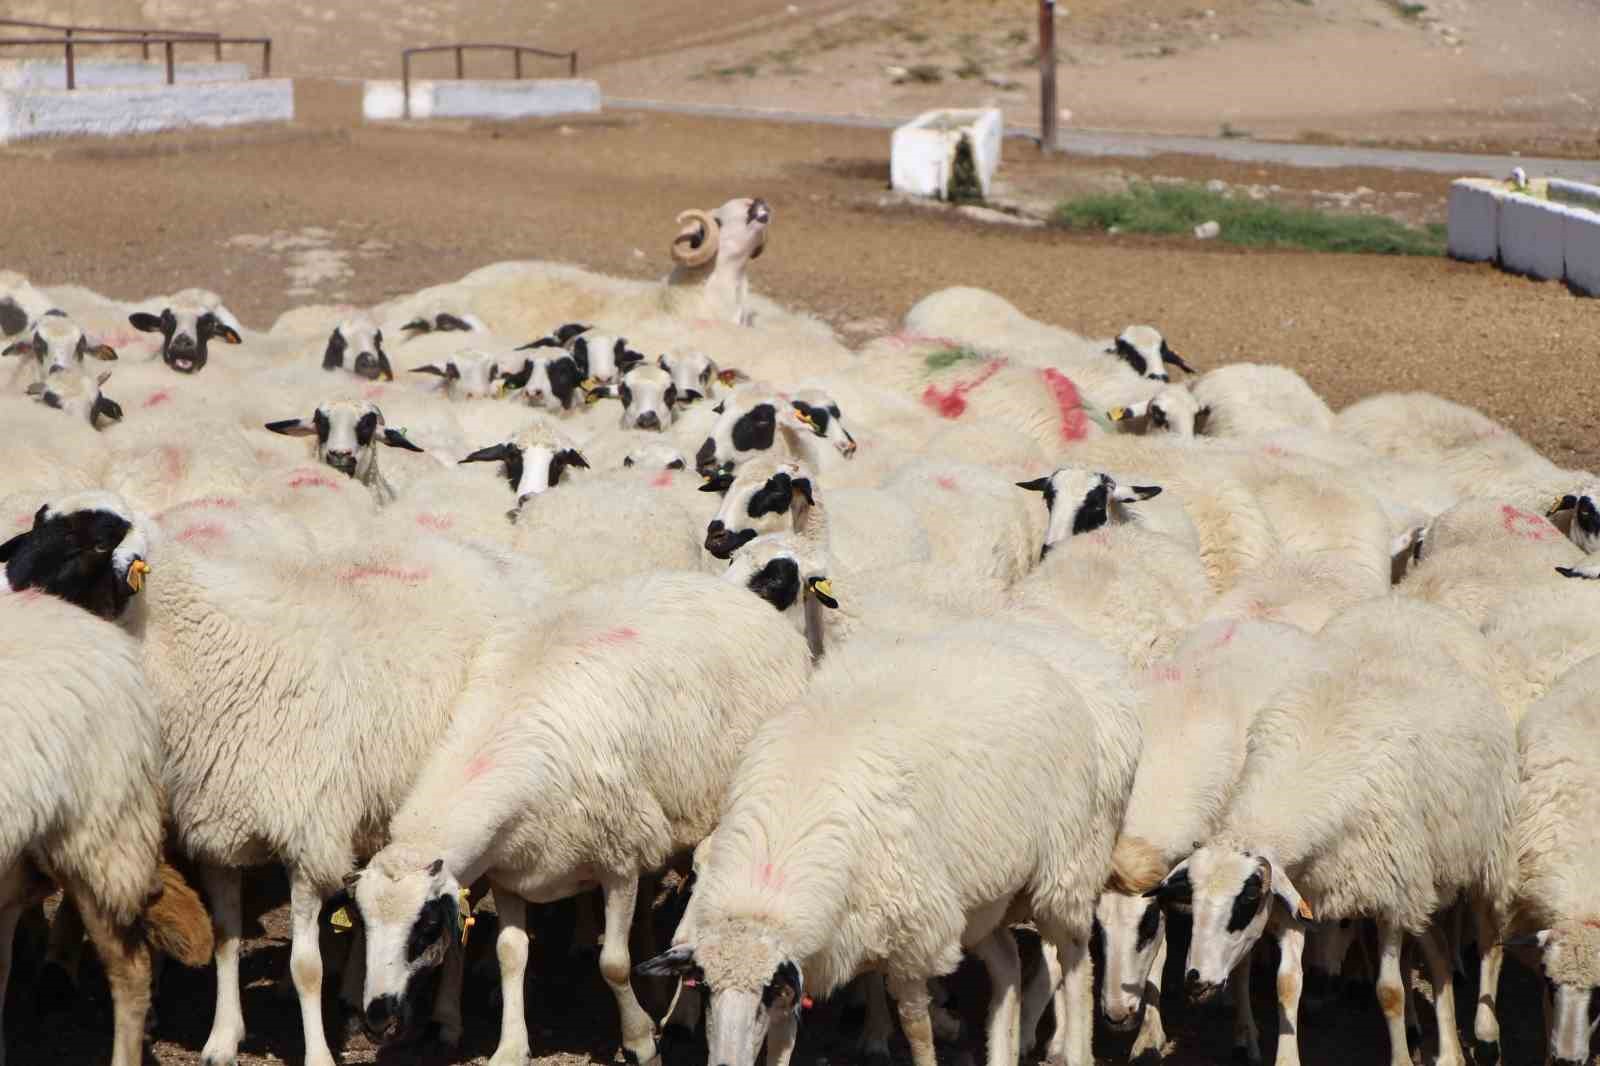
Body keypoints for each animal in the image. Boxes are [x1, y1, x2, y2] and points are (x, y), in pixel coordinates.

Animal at [636, 614, 1139, 1062]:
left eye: (763, 992)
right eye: (703, 986)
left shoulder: (914, 940)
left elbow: (917, 1030)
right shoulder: (817, 953)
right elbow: (782, 1042)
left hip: (1068, 868)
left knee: (1077, 963)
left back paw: (1075, 1050)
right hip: (984, 897)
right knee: (1008, 963)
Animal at [1152, 598, 1510, 1062]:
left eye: (1244, 903)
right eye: (1193, 905)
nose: (1196, 979)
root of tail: (1406, 602)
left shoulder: (1388, 897)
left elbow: (1390, 991)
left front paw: (1401, 1055)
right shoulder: (1299, 898)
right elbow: (1287, 986)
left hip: (1487, 851)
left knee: (1489, 940)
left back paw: (1485, 1033)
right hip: (1426, 876)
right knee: (1438, 955)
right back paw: (1448, 1050)